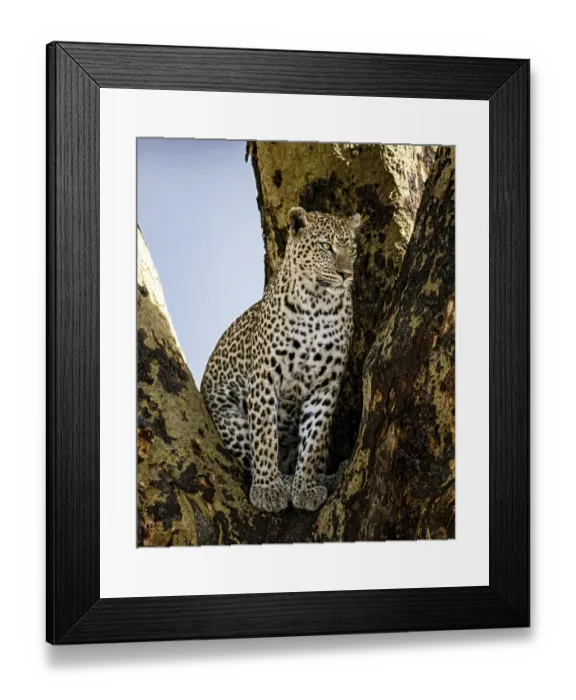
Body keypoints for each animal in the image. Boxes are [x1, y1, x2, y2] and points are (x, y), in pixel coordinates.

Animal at [200, 206, 360, 513]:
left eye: (353, 249)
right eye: (326, 246)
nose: (346, 274)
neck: (317, 306)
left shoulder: (325, 384)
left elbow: (313, 441)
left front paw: (307, 487)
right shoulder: (264, 376)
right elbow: (264, 437)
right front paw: (268, 489)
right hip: (227, 416)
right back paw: (285, 481)